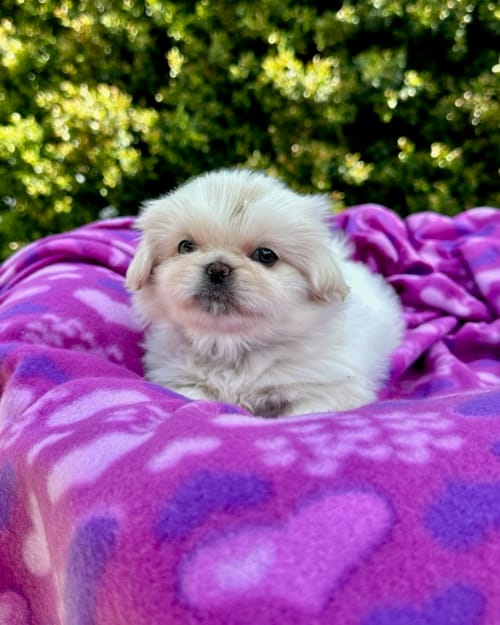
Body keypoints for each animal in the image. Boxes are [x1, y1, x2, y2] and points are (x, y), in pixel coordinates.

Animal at [126, 168, 404, 417]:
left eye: (265, 255)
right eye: (186, 247)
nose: (218, 268)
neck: (233, 348)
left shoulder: (332, 387)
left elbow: (308, 410)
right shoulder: (177, 377)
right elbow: (191, 395)